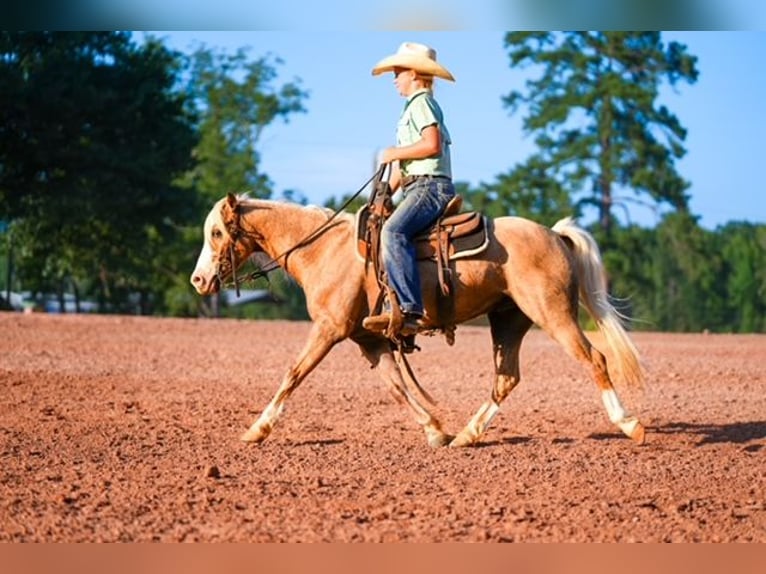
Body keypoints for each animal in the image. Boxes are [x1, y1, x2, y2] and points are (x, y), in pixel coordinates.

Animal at [190, 193, 646, 447]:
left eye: (216, 233)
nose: (198, 280)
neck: (323, 249)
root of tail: (554, 234)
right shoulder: (370, 342)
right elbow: (397, 388)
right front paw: (435, 431)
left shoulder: (328, 330)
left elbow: (293, 374)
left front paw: (257, 429)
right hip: (509, 320)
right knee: (506, 379)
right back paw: (466, 436)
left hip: (552, 314)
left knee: (595, 360)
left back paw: (629, 425)